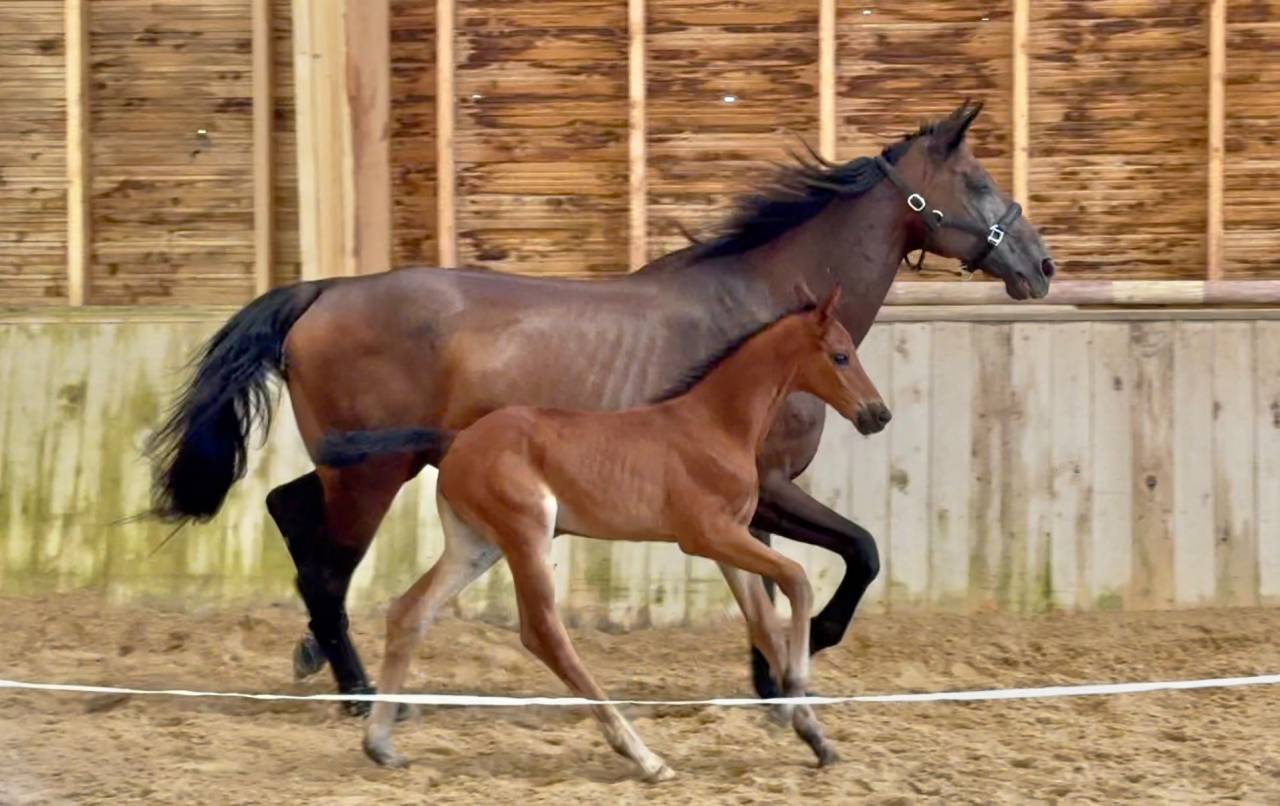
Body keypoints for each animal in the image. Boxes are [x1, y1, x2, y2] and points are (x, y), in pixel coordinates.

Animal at [144, 100, 1055, 711]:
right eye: (976, 180)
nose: (1040, 264)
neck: (760, 314)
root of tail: (323, 291)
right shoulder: (771, 488)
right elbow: (860, 552)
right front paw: (808, 654)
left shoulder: (747, 504)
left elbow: (764, 589)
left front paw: (769, 682)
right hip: (374, 474)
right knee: (328, 568)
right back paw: (362, 693)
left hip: (361, 464)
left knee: (289, 515)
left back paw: (317, 662)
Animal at [317, 287, 889, 780]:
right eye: (840, 356)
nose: (877, 414)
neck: (715, 425)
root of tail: (457, 440)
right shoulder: (708, 535)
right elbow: (797, 581)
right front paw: (797, 690)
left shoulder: (731, 543)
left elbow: (764, 624)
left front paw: (812, 735)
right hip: (527, 532)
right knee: (543, 632)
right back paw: (644, 757)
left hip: (474, 546)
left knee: (410, 610)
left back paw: (380, 745)